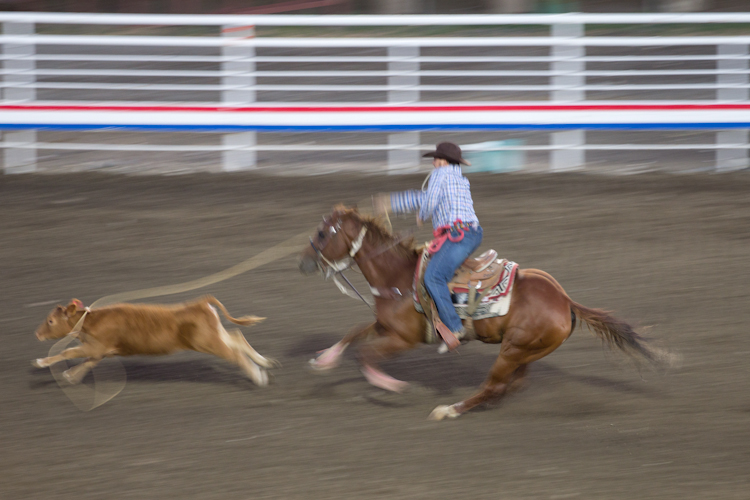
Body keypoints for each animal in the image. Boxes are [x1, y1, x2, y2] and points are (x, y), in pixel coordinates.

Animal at [33, 296, 280, 386]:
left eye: (51, 321)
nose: (37, 334)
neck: (90, 320)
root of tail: (200, 302)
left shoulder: (96, 345)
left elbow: (69, 353)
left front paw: (41, 363)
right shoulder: (101, 351)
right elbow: (87, 363)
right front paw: (71, 376)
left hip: (209, 342)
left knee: (235, 354)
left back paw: (258, 376)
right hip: (214, 335)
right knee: (237, 339)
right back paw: (265, 363)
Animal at [296, 205, 668, 420]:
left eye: (322, 232)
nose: (303, 263)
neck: (399, 278)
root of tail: (566, 301)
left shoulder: (404, 339)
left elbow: (366, 355)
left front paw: (392, 386)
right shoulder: (385, 325)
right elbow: (354, 334)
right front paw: (324, 360)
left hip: (512, 350)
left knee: (494, 385)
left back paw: (450, 409)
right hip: (525, 351)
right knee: (511, 385)